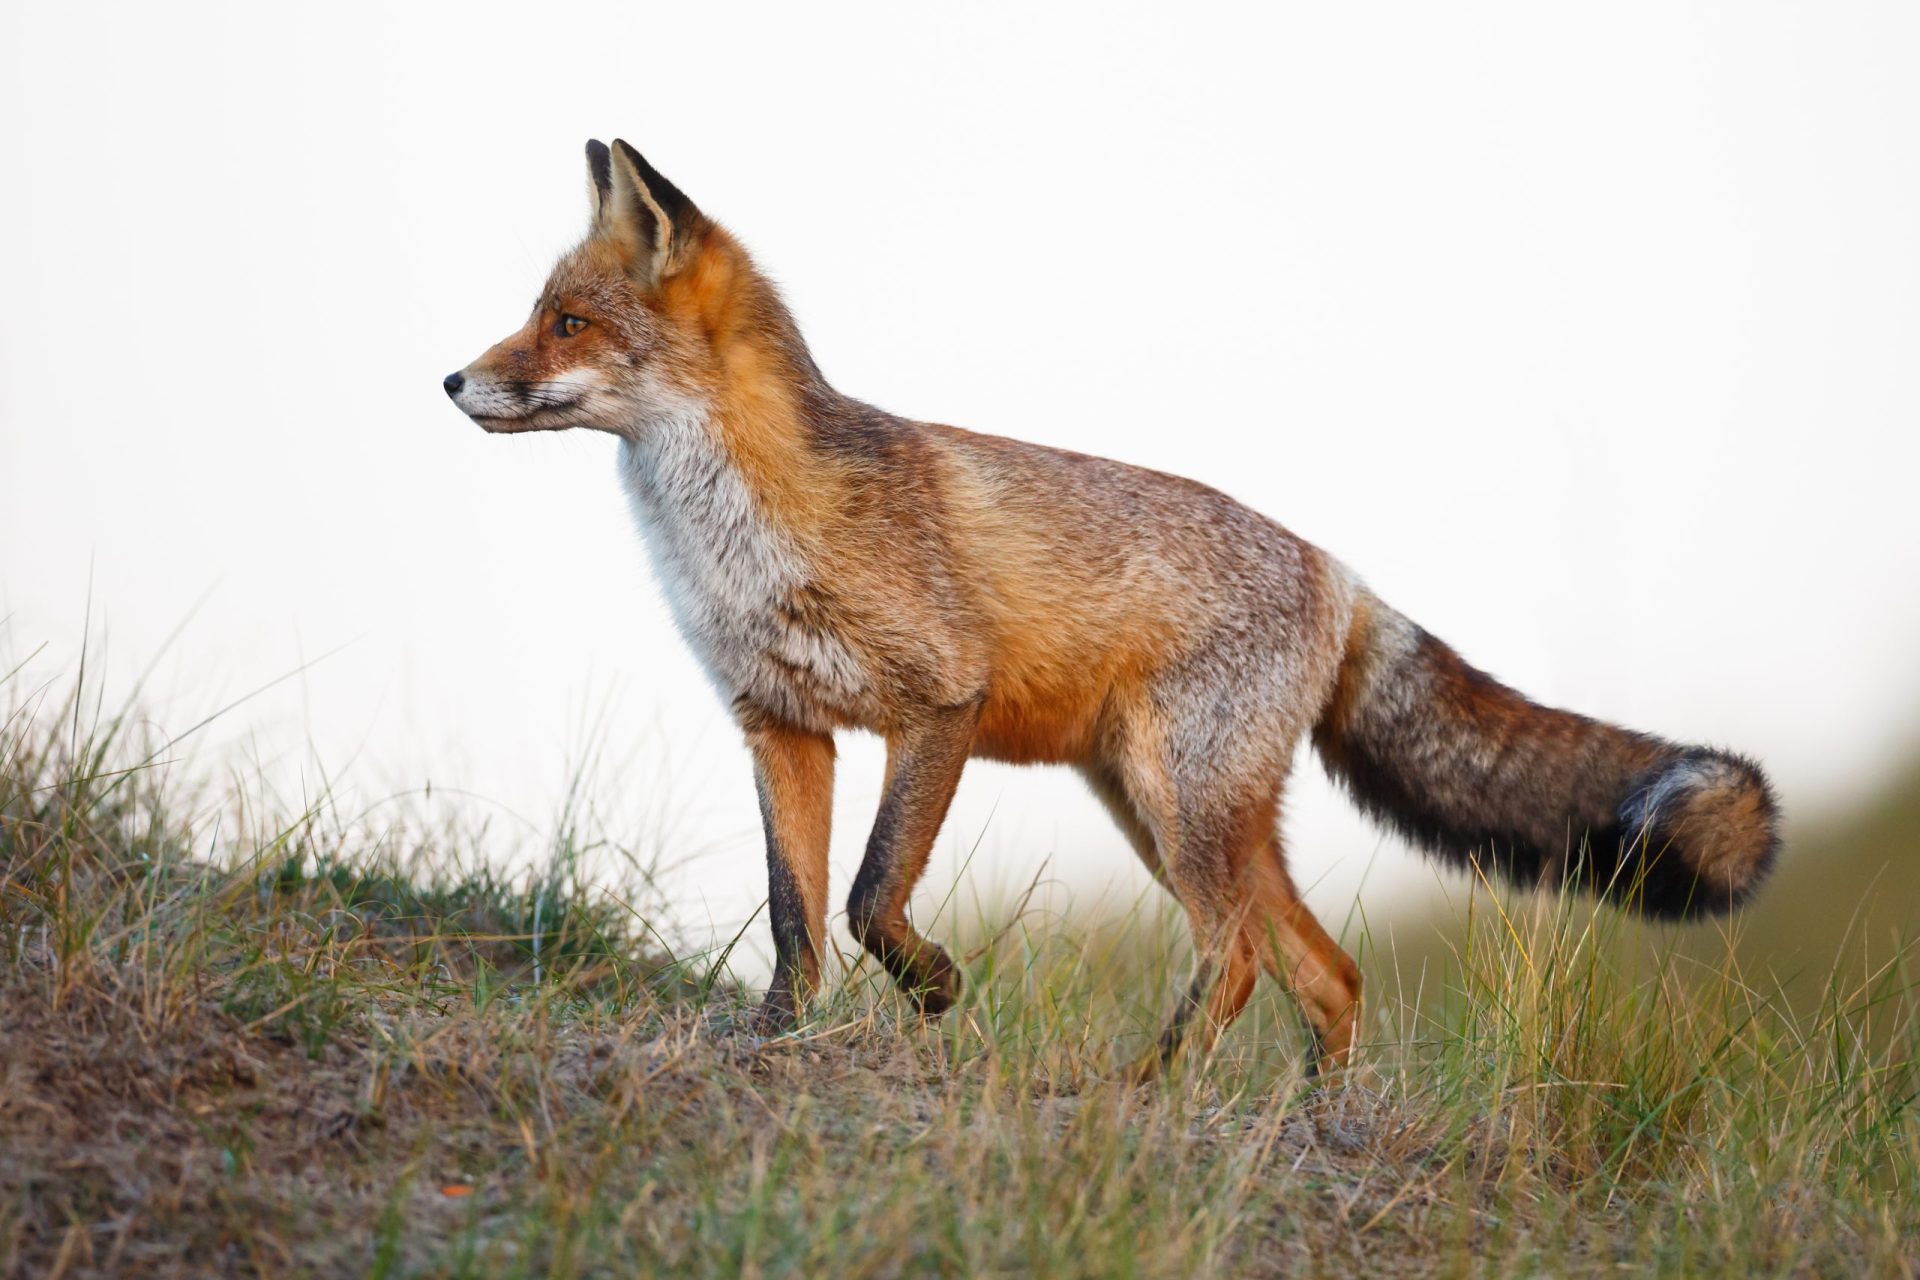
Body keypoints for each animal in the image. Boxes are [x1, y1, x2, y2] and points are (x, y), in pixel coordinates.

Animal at [441, 140, 1774, 1074]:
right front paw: (772, 1040)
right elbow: (793, 917)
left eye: (566, 323)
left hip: (1178, 805)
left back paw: (1144, 1095)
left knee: (1240, 959)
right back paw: (1301, 1124)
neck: (744, 531)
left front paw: (935, 989)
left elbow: (869, 894)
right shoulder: (781, 723)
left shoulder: (941, 704)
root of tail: (1338, 570)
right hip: (1168, 809)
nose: (451, 378)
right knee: (1328, 973)